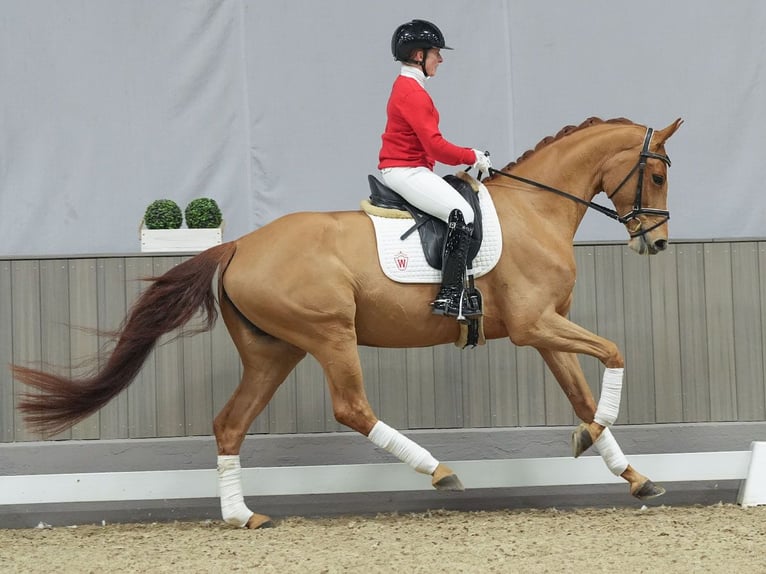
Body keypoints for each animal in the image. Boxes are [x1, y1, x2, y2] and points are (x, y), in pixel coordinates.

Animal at [12, 116, 684, 532]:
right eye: (657, 174)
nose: (656, 244)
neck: (535, 210)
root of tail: (238, 245)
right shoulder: (532, 326)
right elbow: (615, 353)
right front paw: (600, 443)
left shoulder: (548, 328)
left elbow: (581, 392)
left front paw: (628, 472)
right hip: (329, 334)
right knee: (351, 408)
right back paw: (438, 471)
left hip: (273, 352)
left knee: (230, 424)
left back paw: (241, 516)